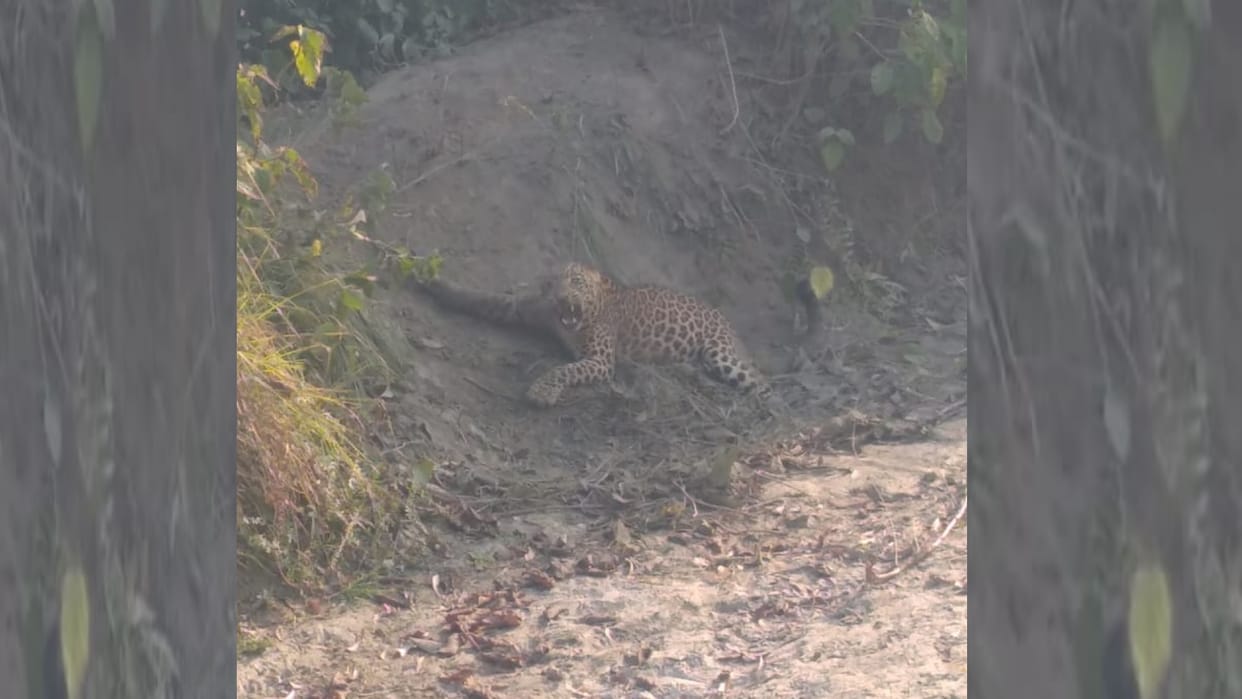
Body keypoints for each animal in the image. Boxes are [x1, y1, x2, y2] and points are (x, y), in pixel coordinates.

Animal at [413, 262, 821, 407]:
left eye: (575, 282)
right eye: (550, 285)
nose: (561, 299)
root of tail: (731, 326)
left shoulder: (601, 360)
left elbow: (563, 369)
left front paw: (541, 391)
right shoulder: (521, 308)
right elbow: (481, 298)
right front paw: (433, 282)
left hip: (722, 354)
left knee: (761, 383)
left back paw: (774, 409)